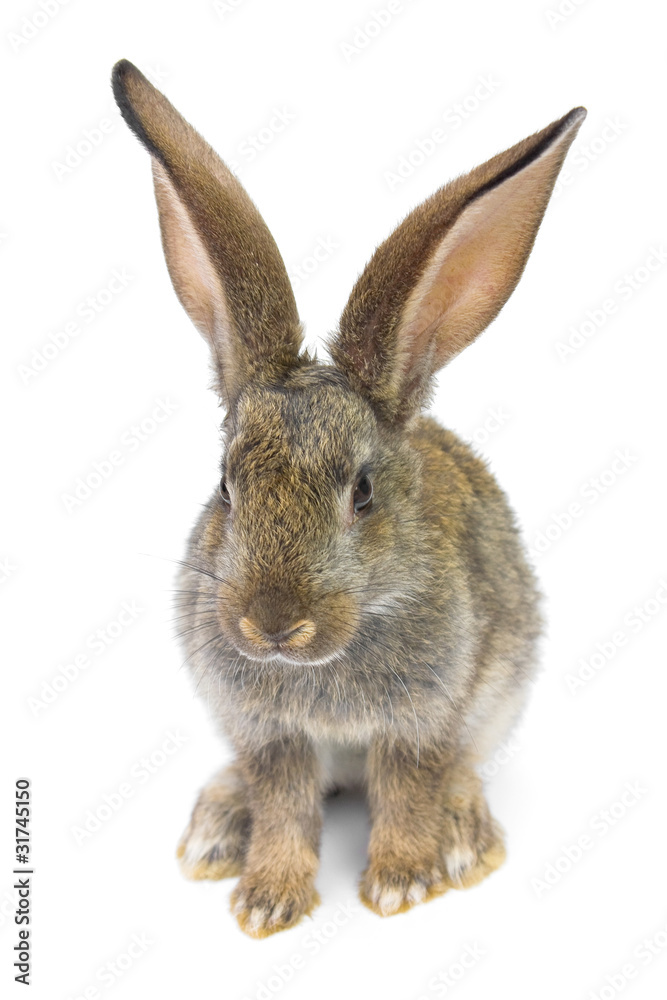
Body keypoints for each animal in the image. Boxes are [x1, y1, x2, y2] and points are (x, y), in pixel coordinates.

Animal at [112, 58, 585, 938]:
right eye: (225, 484)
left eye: (361, 492)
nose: (270, 623)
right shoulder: (268, 734)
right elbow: (283, 804)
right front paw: (265, 901)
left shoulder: (422, 719)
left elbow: (406, 790)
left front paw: (400, 885)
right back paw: (216, 828)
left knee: (458, 771)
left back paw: (463, 836)